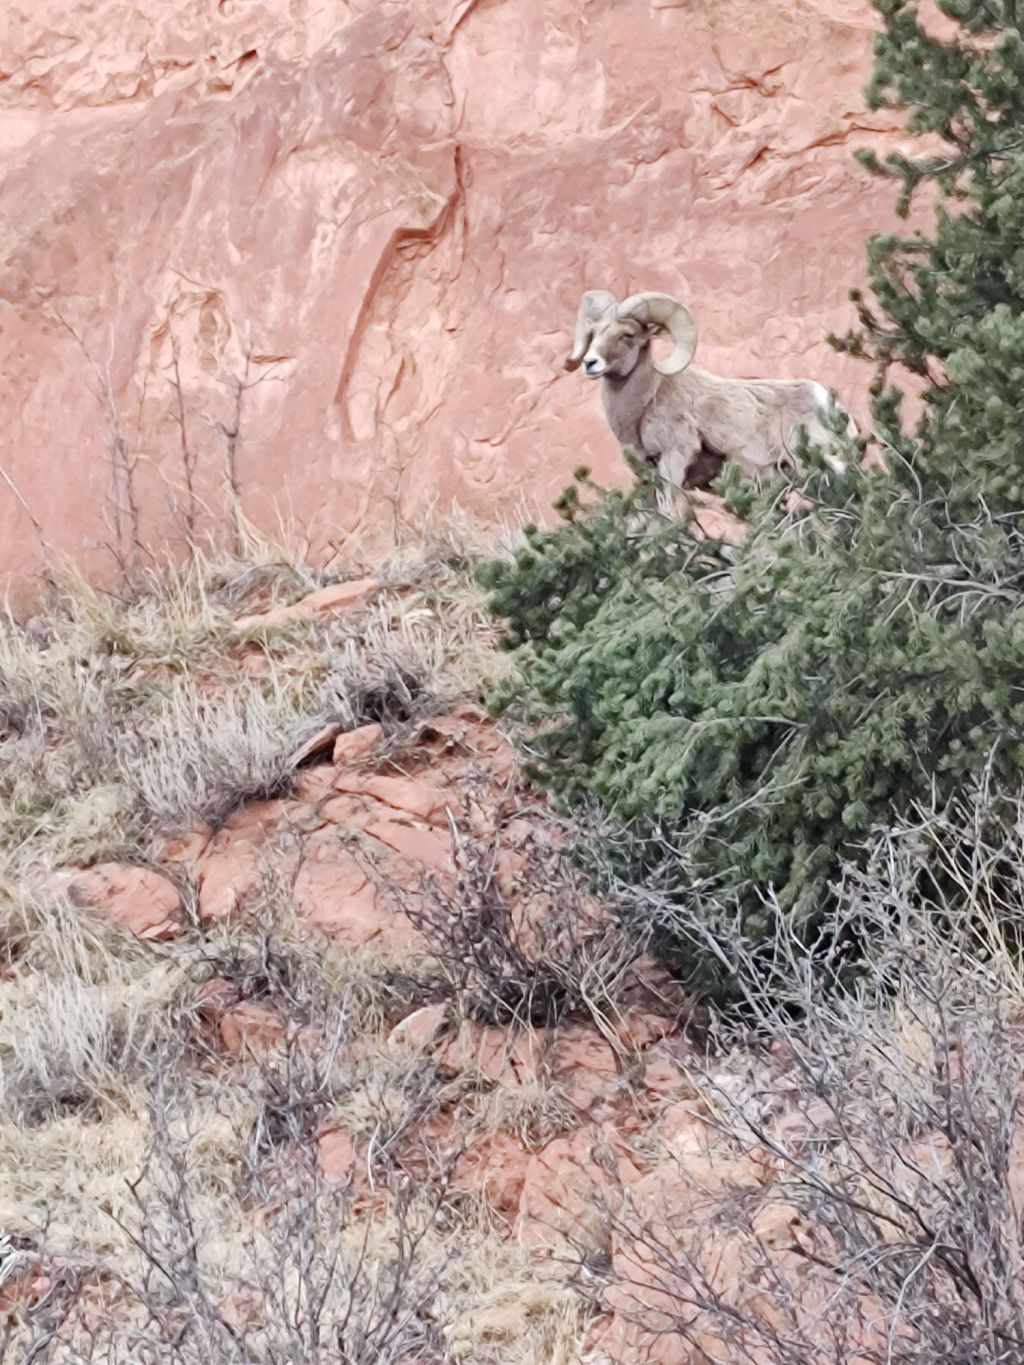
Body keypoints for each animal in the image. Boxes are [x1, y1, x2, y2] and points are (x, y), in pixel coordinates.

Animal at [564, 289, 855, 512]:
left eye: (627, 335)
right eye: (594, 333)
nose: (590, 363)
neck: (645, 405)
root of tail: (826, 402)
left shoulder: (674, 458)